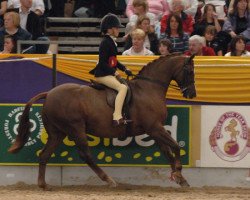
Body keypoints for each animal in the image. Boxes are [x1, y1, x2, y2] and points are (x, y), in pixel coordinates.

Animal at [7, 54, 196, 190]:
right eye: (190, 71)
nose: (192, 94)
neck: (149, 88)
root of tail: (49, 93)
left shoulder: (154, 130)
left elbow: (168, 152)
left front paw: (180, 178)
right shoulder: (155, 128)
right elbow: (176, 147)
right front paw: (179, 173)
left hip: (57, 132)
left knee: (44, 154)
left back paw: (43, 185)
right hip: (76, 128)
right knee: (86, 155)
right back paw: (109, 180)